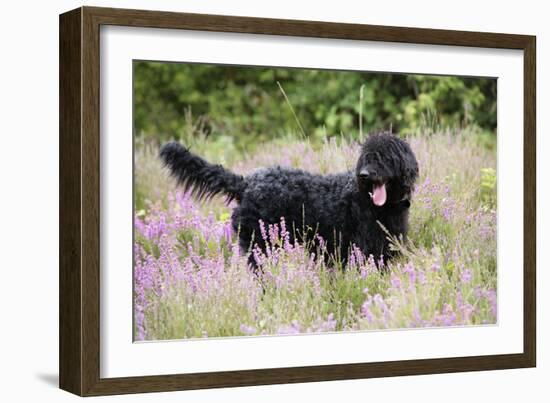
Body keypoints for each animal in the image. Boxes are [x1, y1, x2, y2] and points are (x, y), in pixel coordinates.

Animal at [162, 133, 420, 270]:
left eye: (384, 157)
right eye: (366, 157)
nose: (364, 175)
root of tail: (246, 183)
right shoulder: (365, 251)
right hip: (260, 247)